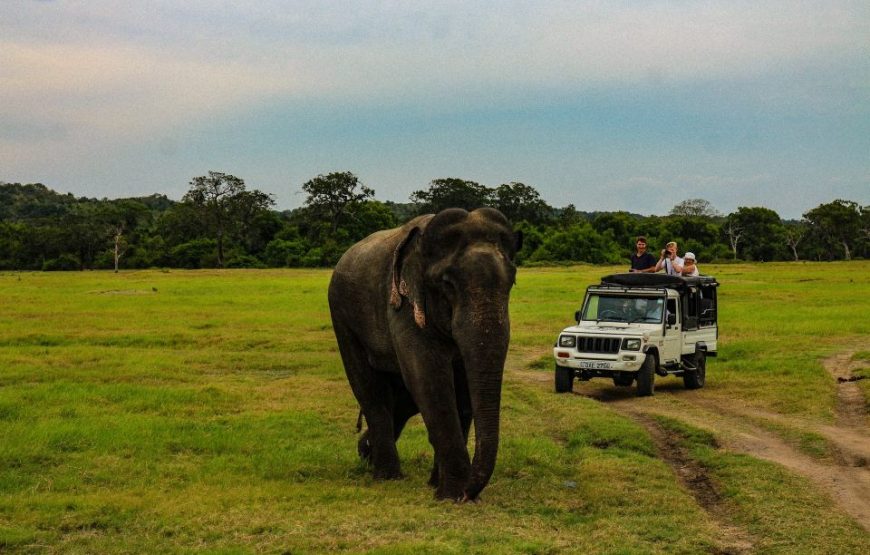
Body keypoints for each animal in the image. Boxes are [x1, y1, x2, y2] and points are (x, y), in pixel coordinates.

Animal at [326, 206, 516, 502]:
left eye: (512, 282)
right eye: (448, 284)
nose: (469, 493)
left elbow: (461, 386)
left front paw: (442, 486)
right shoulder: (403, 307)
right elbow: (428, 377)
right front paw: (452, 495)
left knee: (400, 400)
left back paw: (367, 453)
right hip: (342, 316)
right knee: (370, 390)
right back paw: (387, 475)